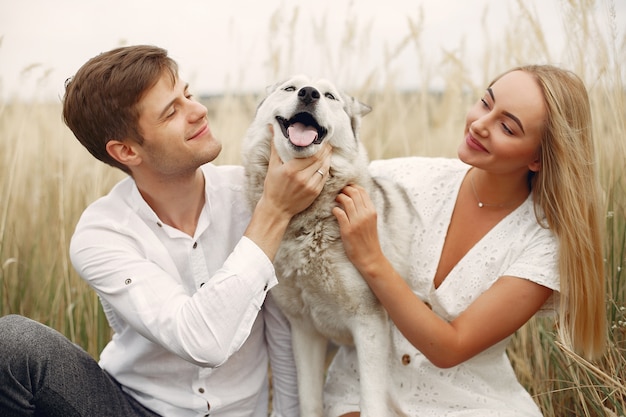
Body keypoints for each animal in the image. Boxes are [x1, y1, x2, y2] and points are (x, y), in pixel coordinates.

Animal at [241, 75, 412, 416]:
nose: (309, 94)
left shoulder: (369, 325)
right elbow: (309, 401)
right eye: (290, 88)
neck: (305, 225)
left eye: (330, 96)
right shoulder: (304, 331)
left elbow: (371, 404)